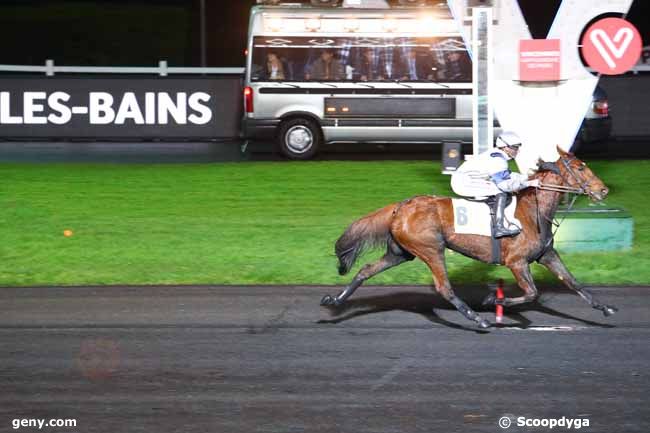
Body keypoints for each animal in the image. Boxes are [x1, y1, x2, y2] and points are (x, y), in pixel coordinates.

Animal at [322, 147, 616, 330]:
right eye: (580, 167)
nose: (603, 190)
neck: (533, 211)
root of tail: (400, 206)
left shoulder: (547, 255)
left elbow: (573, 282)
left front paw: (605, 308)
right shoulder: (517, 262)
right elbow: (532, 293)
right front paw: (493, 302)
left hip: (400, 252)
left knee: (366, 269)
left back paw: (334, 301)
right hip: (431, 249)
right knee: (444, 288)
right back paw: (478, 319)